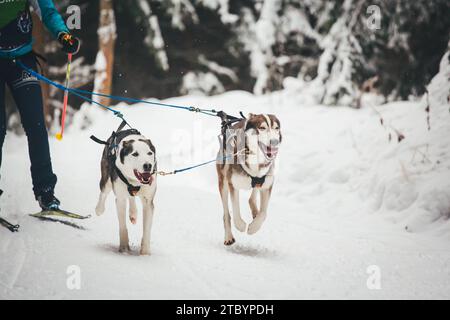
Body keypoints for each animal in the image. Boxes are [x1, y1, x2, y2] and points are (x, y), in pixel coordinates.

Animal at [94, 125, 156, 255]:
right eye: (135, 154)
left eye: (149, 153)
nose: (148, 165)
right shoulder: (120, 199)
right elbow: (122, 226)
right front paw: (124, 248)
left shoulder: (148, 202)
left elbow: (147, 229)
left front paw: (145, 252)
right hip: (106, 179)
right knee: (103, 192)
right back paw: (99, 209)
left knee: (131, 197)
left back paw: (133, 213)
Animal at [215, 114, 282, 246]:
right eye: (262, 128)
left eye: (276, 128)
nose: (274, 141)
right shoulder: (233, 184)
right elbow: (235, 211)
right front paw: (241, 225)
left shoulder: (267, 186)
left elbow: (264, 213)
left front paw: (254, 227)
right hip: (223, 182)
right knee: (226, 213)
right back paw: (228, 236)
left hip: (258, 183)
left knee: (252, 197)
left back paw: (255, 211)